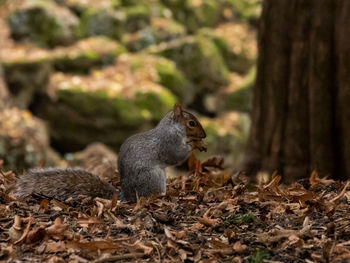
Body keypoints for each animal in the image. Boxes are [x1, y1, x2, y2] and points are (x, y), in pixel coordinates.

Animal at [13, 104, 206, 203]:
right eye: (191, 123)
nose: (204, 135)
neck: (173, 128)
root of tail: (126, 196)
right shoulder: (168, 143)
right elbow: (176, 155)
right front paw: (194, 144)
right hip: (154, 178)